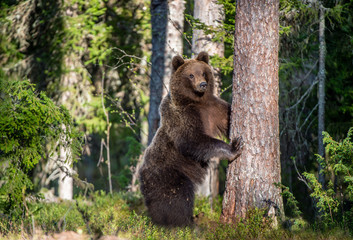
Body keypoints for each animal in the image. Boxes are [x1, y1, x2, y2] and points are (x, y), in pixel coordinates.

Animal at [138, 51, 242, 226]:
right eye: (191, 75)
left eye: (203, 72)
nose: (202, 84)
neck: (197, 101)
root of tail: (142, 174)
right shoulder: (183, 116)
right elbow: (193, 139)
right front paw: (234, 148)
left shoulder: (214, 109)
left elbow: (227, 117)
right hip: (169, 174)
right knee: (177, 198)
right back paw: (180, 223)